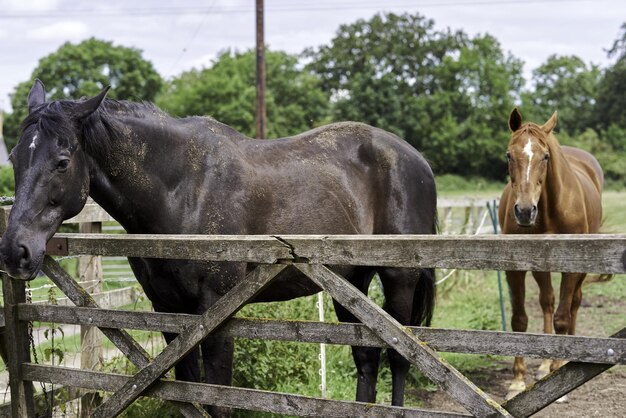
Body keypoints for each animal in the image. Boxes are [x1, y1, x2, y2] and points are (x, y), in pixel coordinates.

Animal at [0, 80, 436, 414]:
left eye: (61, 161)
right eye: (15, 157)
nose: (14, 251)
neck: (183, 190)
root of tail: (417, 159)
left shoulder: (217, 312)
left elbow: (216, 398)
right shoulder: (170, 312)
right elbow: (187, 392)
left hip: (399, 278)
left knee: (400, 357)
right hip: (353, 281)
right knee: (367, 357)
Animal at [494, 108, 604, 398]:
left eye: (545, 156)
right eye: (509, 155)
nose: (524, 211)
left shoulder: (572, 266)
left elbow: (562, 319)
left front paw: (559, 373)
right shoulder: (515, 268)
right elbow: (520, 321)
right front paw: (518, 381)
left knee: (574, 302)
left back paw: (562, 361)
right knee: (547, 301)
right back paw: (543, 365)